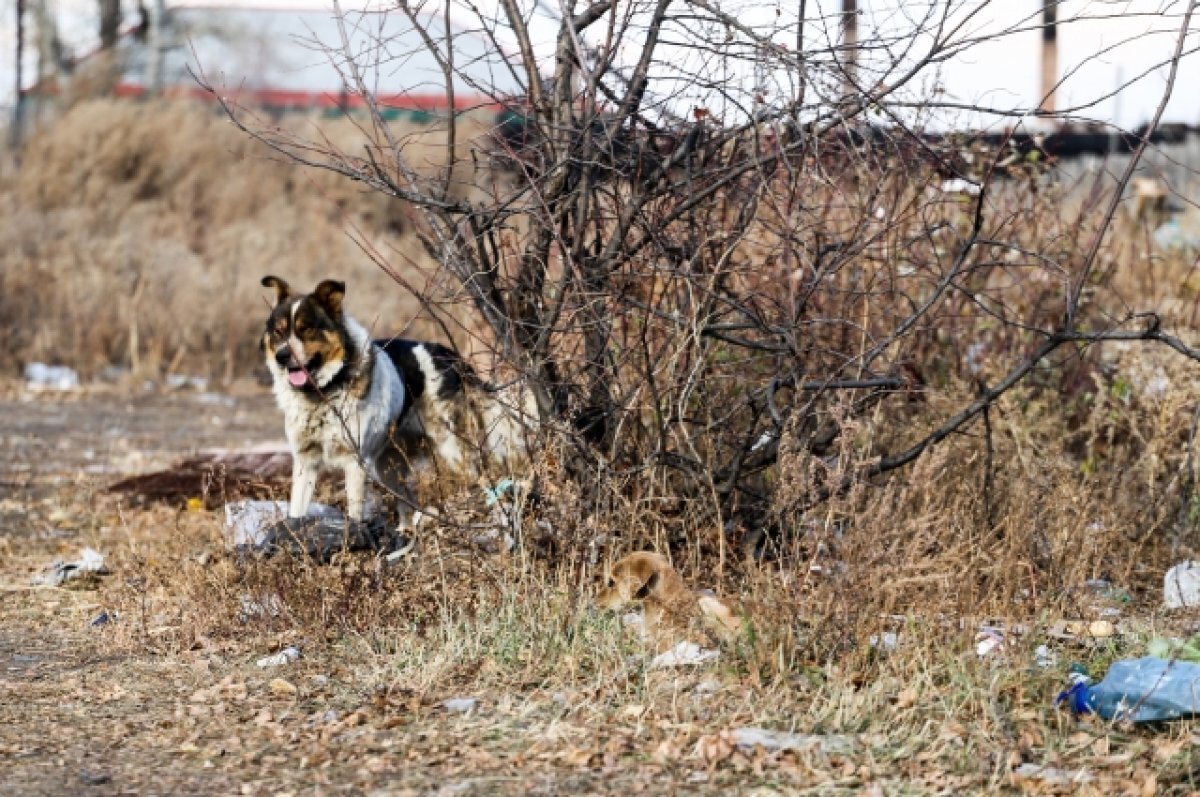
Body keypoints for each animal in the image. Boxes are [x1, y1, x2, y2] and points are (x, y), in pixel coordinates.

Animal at [260, 276, 532, 535]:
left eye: (306, 329)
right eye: (278, 332)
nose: (281, 356)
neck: (324, 391)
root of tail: (451, 356)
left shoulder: (355, 462)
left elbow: (354, 513)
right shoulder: (305, 463)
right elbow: (296, 512)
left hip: (455, 451)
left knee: (486, 482)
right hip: (389, 466)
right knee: (409, 502)